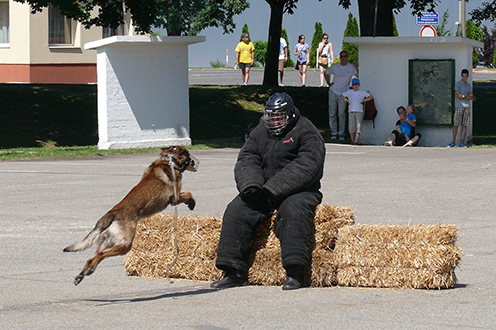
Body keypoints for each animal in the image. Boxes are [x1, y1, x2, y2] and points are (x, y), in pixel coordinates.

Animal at [63, 146, 198, 284]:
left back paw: (82, 274)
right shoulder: (174, 198)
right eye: (188, 155)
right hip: (125, 245)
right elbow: (189, 194)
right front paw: (191, 203)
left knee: (91, 258)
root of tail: (113, 213)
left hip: (108, 242)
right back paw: (88, 271)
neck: (169, 160)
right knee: (100, 255)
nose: (194, 161)